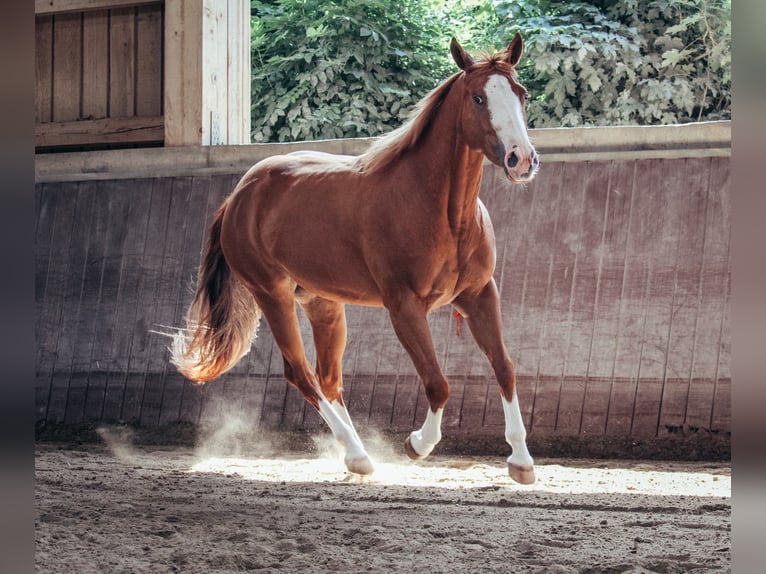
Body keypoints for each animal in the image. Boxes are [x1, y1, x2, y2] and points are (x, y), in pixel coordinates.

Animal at [170, 34, 539, 484]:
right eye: (478, 98)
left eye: (521, 93)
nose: (522, 160)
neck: (441, 212)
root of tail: (238, 196)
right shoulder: (404, 307)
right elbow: (438, 383)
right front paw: (417, 445)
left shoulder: (480, 295)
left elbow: (505, 367)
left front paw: (521, 462)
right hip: (272, 296)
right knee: (301, 374)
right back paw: (358, 456)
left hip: (323, 304)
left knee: (329, 379)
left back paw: (355, 454)